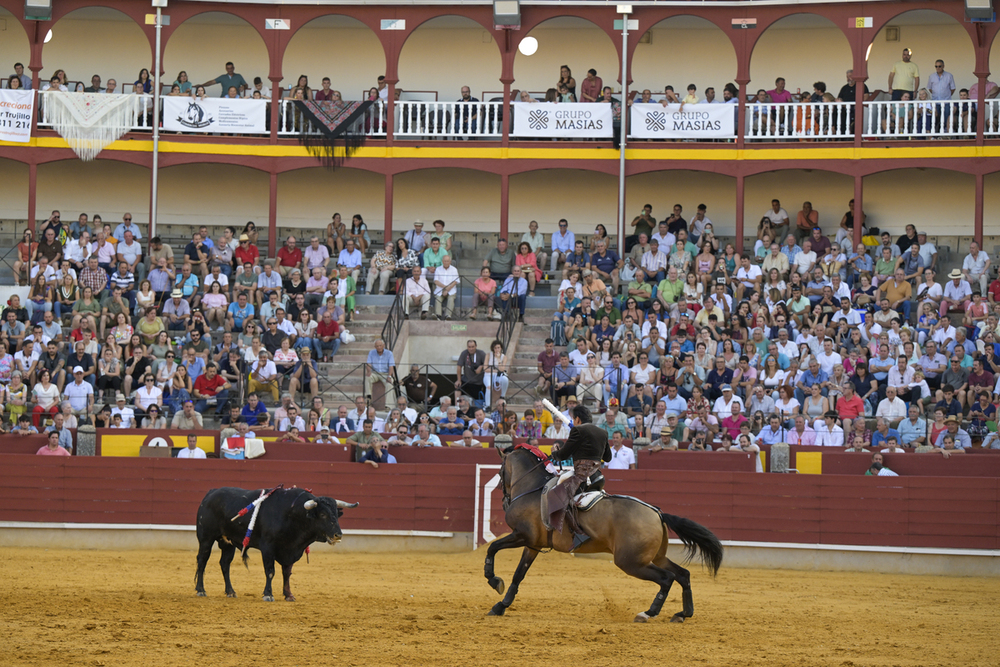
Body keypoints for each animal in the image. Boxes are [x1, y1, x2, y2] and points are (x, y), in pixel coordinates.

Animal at [193, 488, 358, 604]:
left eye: (336, 514)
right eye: (323, 514)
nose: (338, 535)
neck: (292, 514)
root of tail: (211, 493)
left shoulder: (290, 549)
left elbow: (287, 573)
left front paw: (289, 595)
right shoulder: (268, 548)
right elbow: (270, 571)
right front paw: (268, 594)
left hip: (228, 543)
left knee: (224, 564)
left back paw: (230, 592)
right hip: (206, 538)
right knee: (202, 561)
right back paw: (201, 590)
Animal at [482, 446, 724, 624]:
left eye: (500, 471)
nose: (504, 500)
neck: (533, 488)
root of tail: (657, 512)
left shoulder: (522, 535)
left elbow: (492, 548)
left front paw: (493, 580)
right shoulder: (533, 544)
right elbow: (518, 574)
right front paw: (500, 605)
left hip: (631, 562)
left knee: (667, 578)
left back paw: (648, 613)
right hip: (655, 557)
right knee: (683, 575)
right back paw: (683, 614)